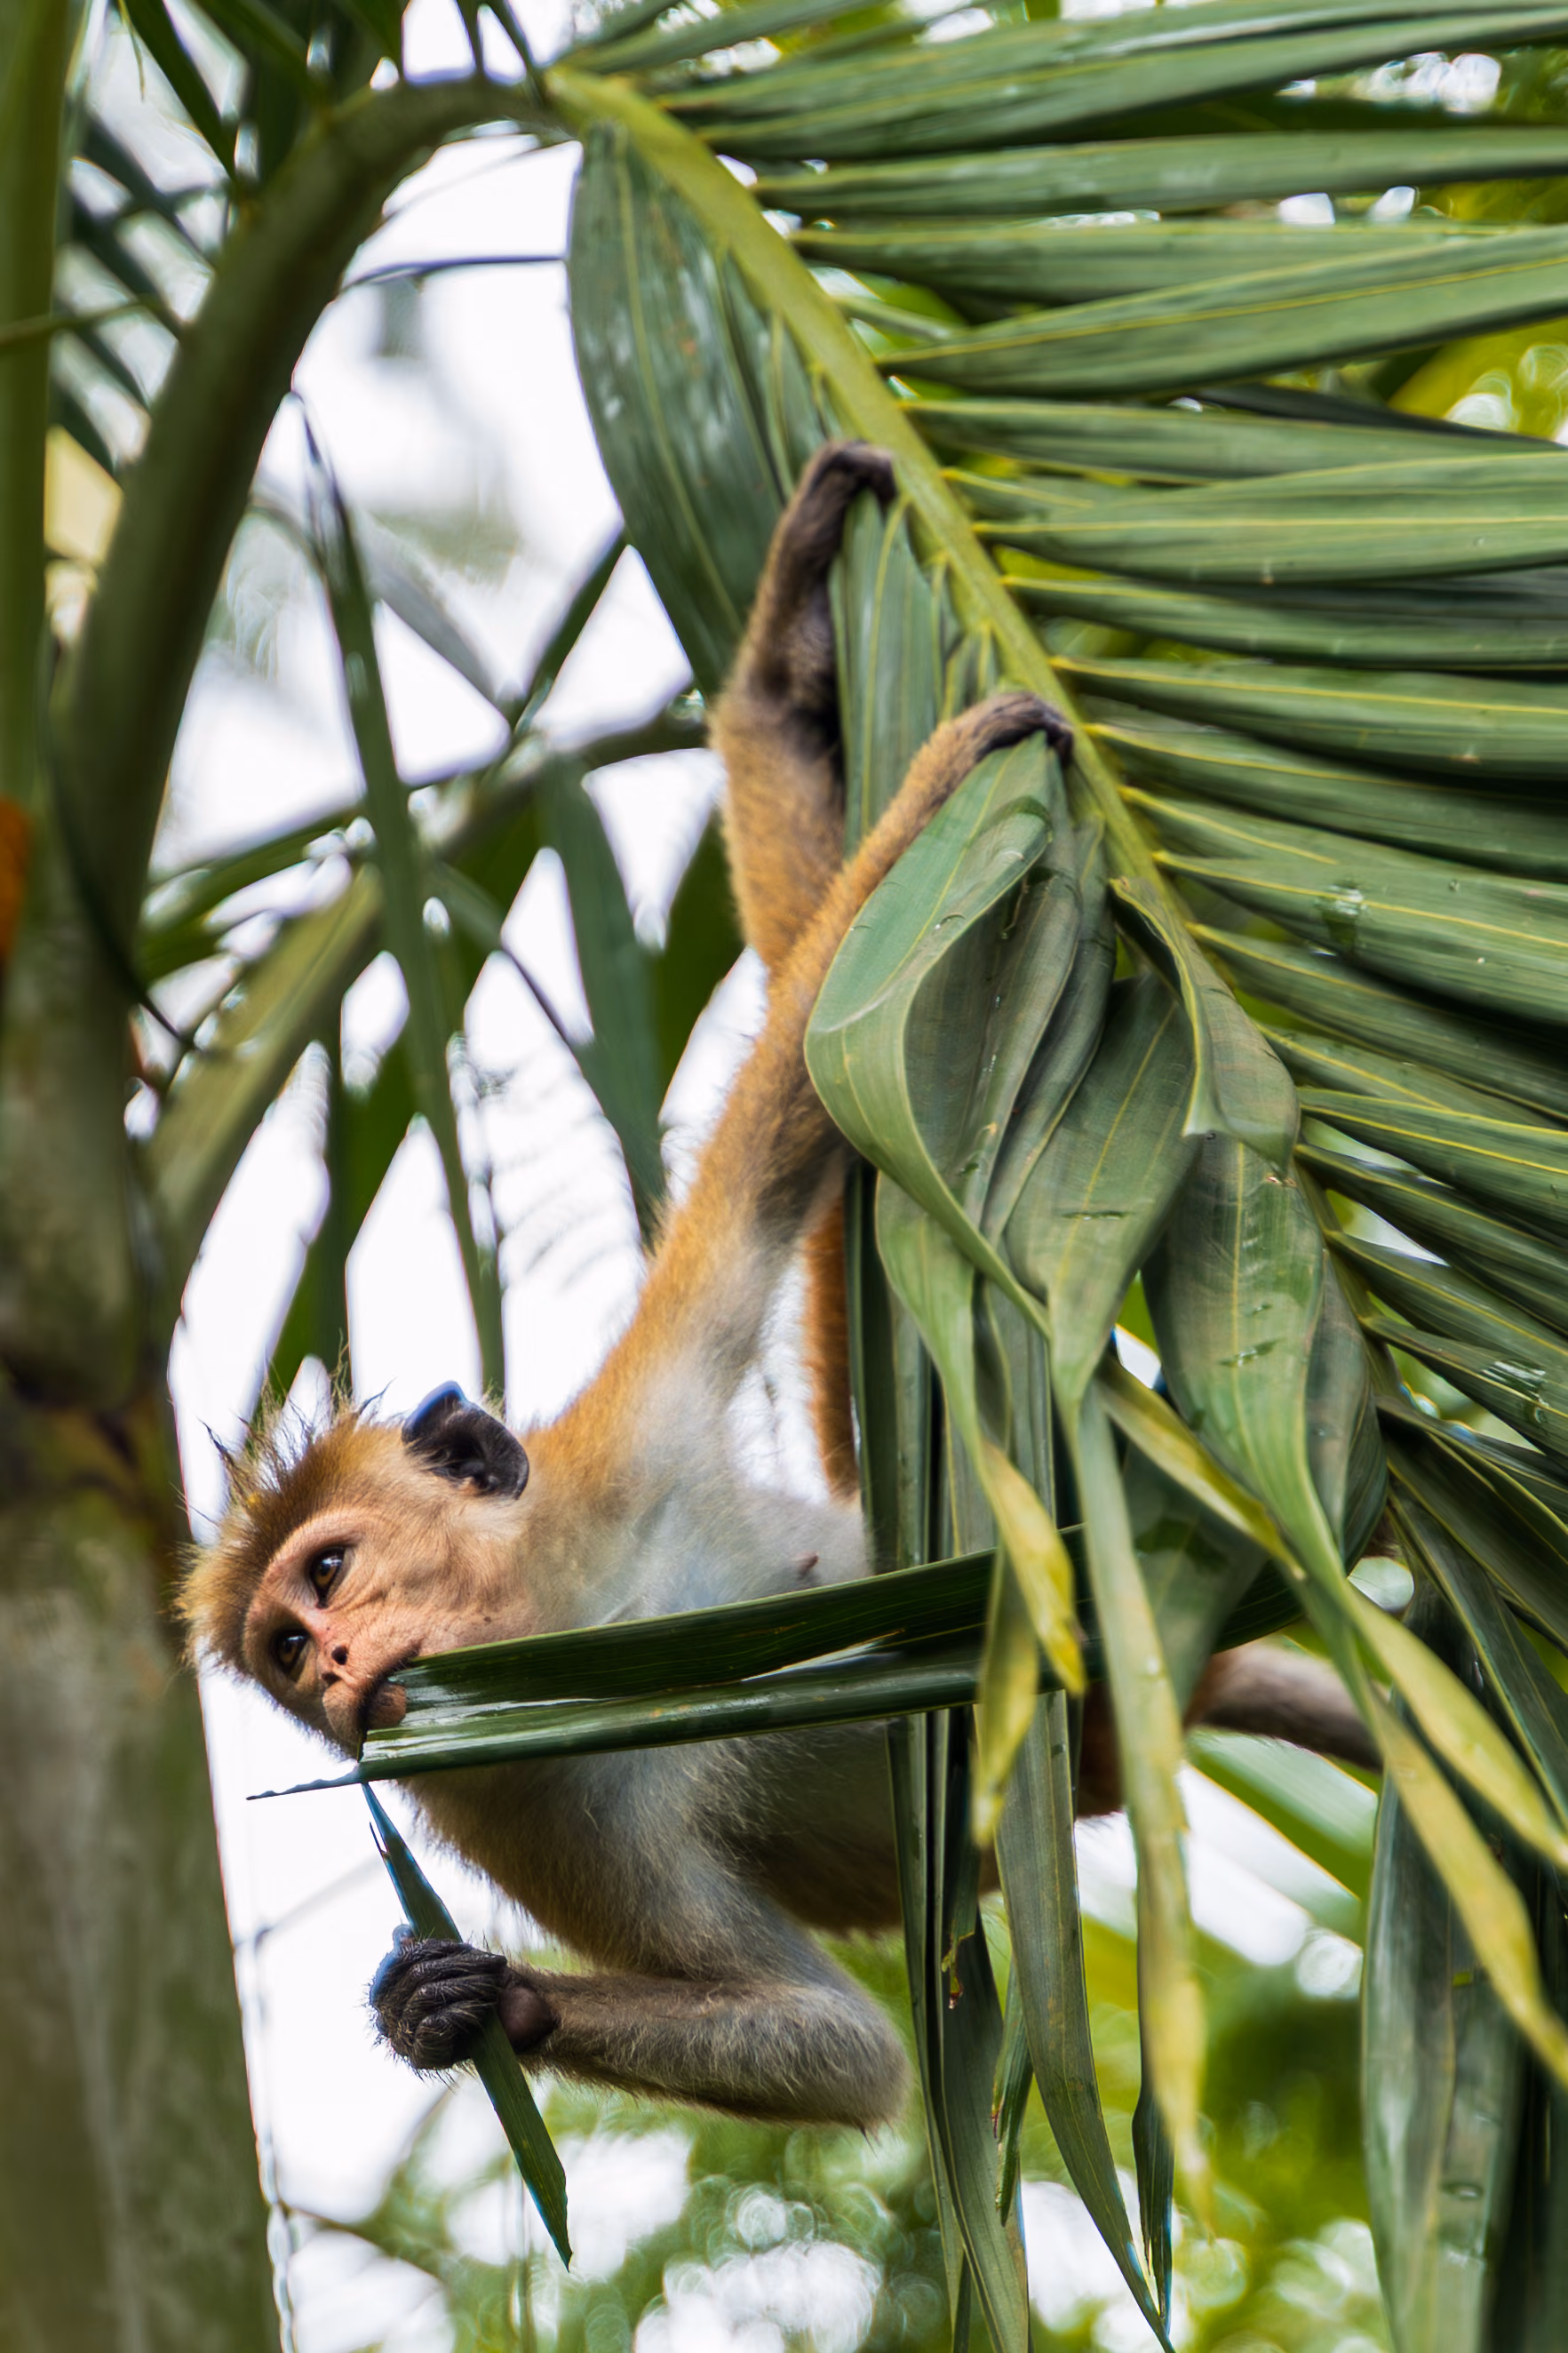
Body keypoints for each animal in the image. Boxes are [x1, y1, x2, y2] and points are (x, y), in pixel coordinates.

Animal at [183, 441, 1377, 2131]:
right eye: (288, 1652)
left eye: (332, 1575)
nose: (342, 1667)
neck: (582, 1606)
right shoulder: (500, 1790)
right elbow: (846, 2046)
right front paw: (453, 2005)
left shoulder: (635, 1440)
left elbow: (788, 1113)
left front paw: (926, 753)